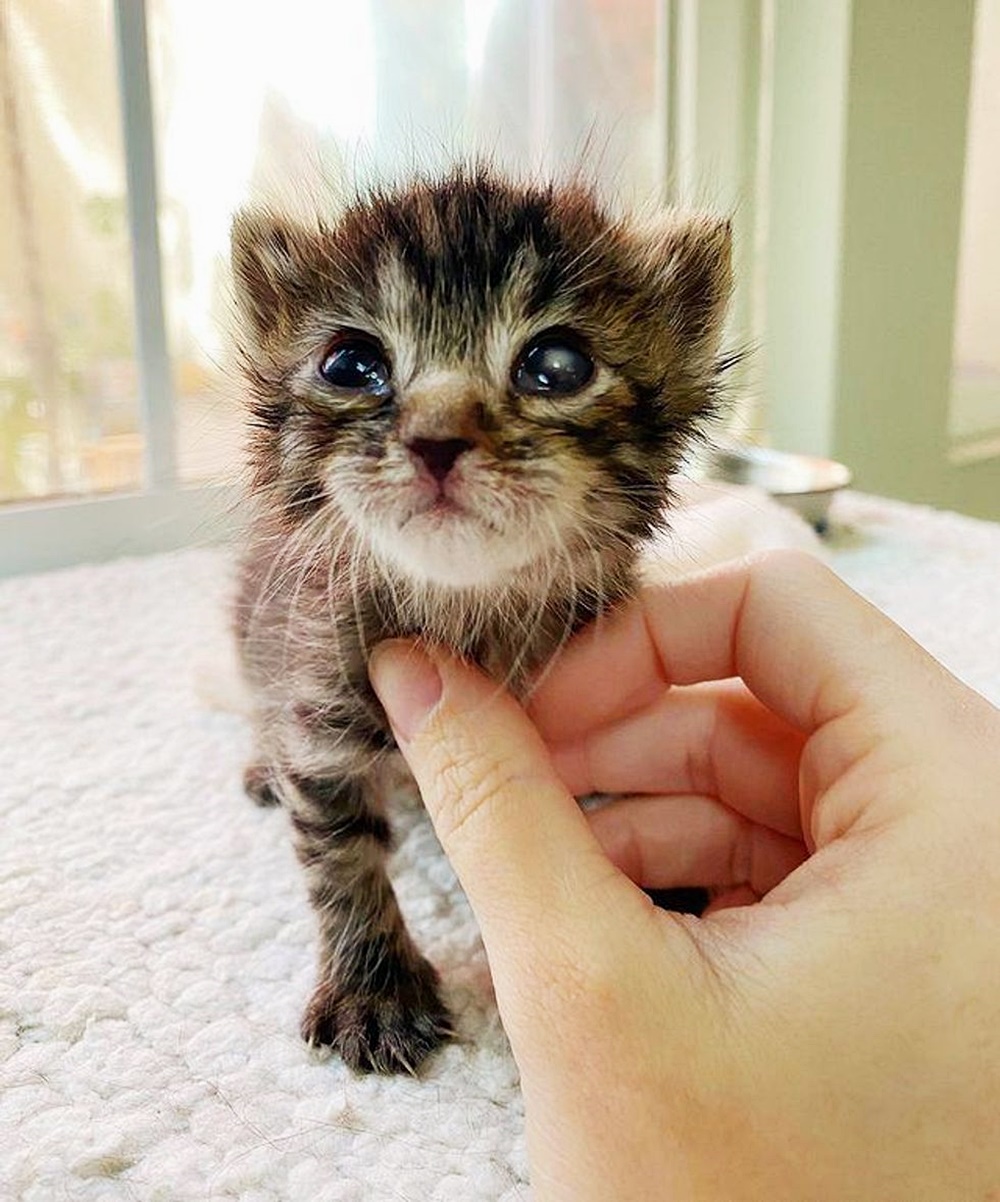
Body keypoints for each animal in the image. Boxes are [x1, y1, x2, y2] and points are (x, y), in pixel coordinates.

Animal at [230, 167, 733, 1074]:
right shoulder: (314, 696)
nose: (436, 439)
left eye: (557, 366)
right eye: (351, 364)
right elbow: (338, 852)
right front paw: (375, 992)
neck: (463, 613)